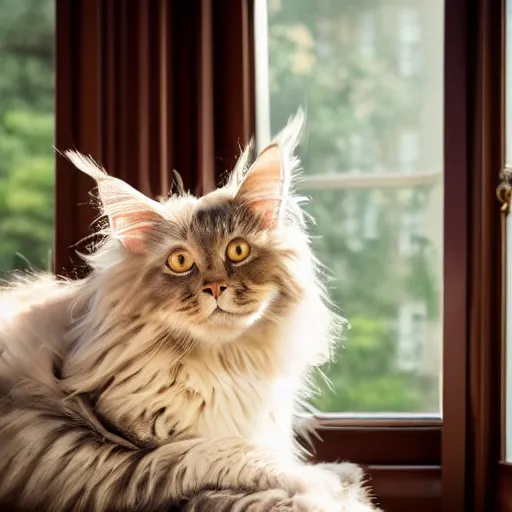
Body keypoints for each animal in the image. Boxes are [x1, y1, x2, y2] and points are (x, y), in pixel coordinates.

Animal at [0, 110, 376, 510]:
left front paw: (340, 476)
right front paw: (326, 484)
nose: (215, 287)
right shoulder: (109, 455)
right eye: (180, 261)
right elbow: (235, 453)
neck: (223, 366)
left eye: (237, 251)